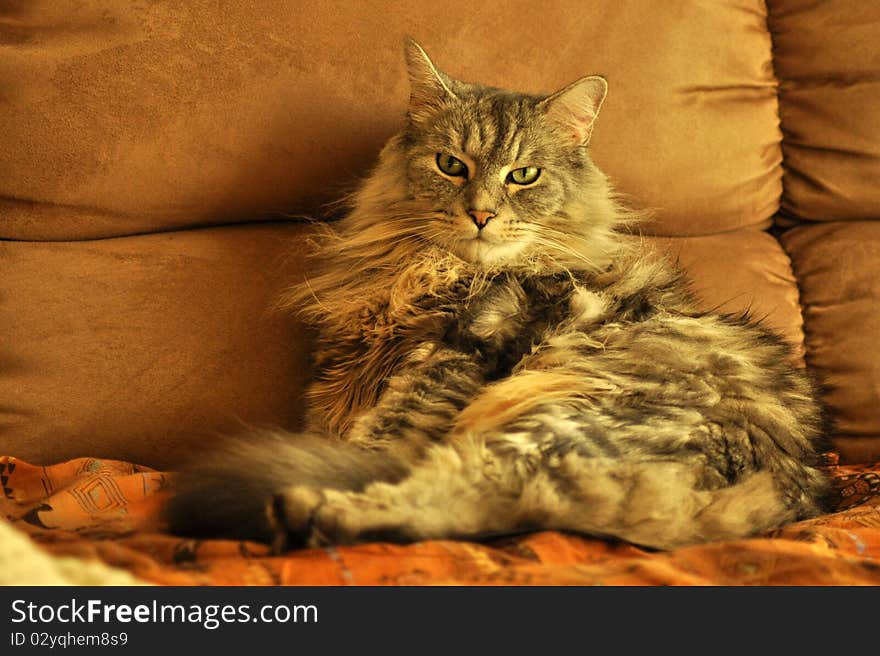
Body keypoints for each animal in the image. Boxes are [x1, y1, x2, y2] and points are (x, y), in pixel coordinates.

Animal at [165, 38, 832, 552]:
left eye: (523, 175)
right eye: (450, 165)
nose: (482, 215)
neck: (425, 271)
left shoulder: (452, 354)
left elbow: (378, 433)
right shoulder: (342, 376)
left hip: (560, 420)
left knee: (465, 485)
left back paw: (306, 509)